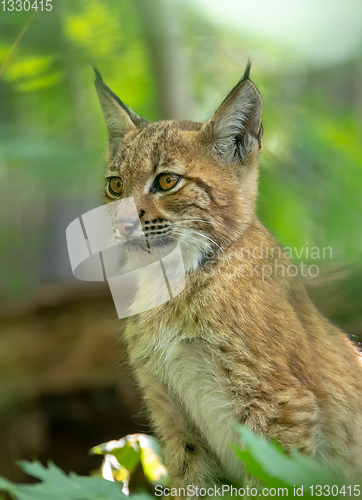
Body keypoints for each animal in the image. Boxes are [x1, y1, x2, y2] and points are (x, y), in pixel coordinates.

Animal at [94, 63, 362, 488]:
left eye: (167, 181)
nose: (121, 226)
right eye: (115, 185)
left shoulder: (281, 409)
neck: (172, 281)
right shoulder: (172, 414)